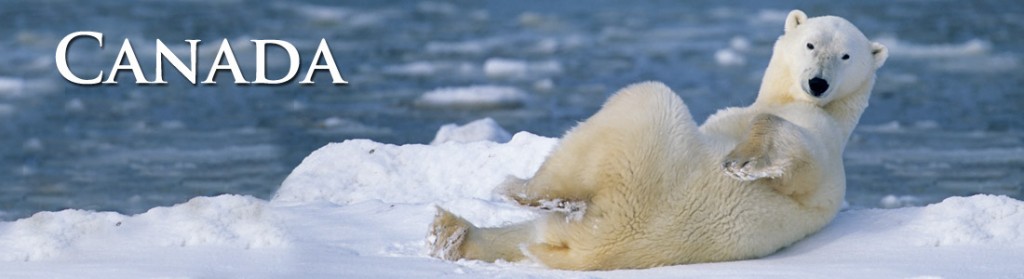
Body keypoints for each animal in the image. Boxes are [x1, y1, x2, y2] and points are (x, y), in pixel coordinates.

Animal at [425, 9, 888, 268]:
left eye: (845, 55)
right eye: (810, 44)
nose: (818, 83)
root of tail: (595, 247)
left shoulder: (823, 145)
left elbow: (801, 166)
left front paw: (743, 161)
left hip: (647, 168)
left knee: (638, 101)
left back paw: (522, 189)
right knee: (529, 233)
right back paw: (450, 233)